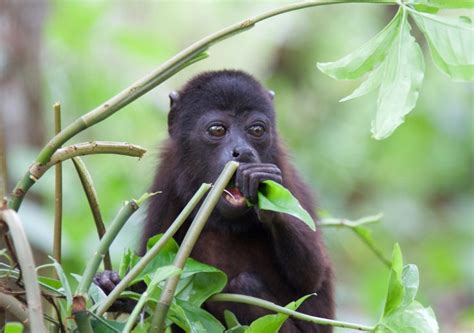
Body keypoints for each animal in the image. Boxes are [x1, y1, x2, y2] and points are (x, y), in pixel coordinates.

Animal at [95, 68, 334, 330]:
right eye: (217, 130)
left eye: (256, 130)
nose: (243, 151)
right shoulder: (167, 178)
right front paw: (117, 287)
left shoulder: (283, 170)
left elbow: (311, 275)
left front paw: (264, 188)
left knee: (243, 286)